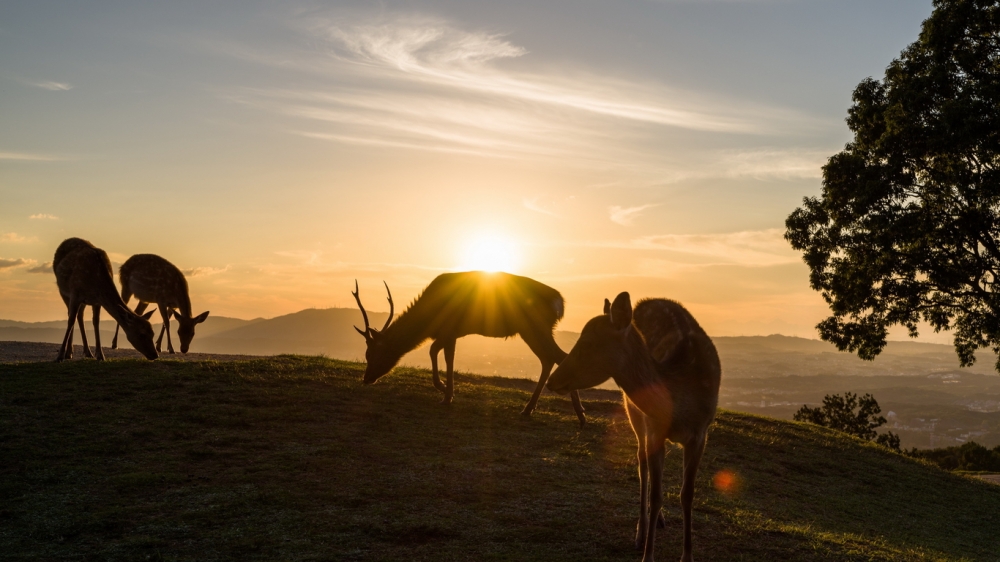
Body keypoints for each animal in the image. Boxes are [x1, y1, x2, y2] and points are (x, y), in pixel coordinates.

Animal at [352, 272, 584, 424]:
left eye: (371, 353)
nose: (366, 378)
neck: (430, 318)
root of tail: (559, 303)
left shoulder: (450, 330)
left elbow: (442, 354)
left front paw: (445, 393)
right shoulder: (450, 332)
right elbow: (439, 352)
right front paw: (445, 390)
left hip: (534, 326)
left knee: (556, 356)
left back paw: (578, 414)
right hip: (534, 329)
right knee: (550, 358)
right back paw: (532, 409)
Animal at [548, 290, 720, 560]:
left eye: (587, 343)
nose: (552, 381)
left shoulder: (701, 434)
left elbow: (687, 494)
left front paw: (687, 555)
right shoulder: (656, 429)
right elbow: (656, 495)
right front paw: (647, 555)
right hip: (633, 410)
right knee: (642, 463)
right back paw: (642, 530)